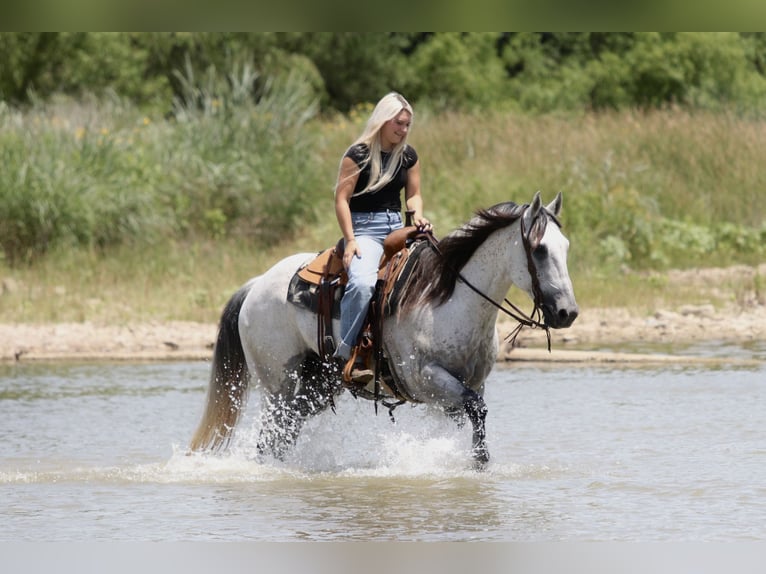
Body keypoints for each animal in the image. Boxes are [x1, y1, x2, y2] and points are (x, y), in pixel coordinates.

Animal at [189, 191, 578, 468]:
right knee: (272, 435)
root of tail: (256, 285)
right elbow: (477, 410)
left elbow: (470, 417)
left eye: (566, 247)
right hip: (278, 384)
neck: (446, 299)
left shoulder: (467, 384)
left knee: (285, 433)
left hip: (316, 387)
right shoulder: (428, 379)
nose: (567, 312)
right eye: (539, 249)